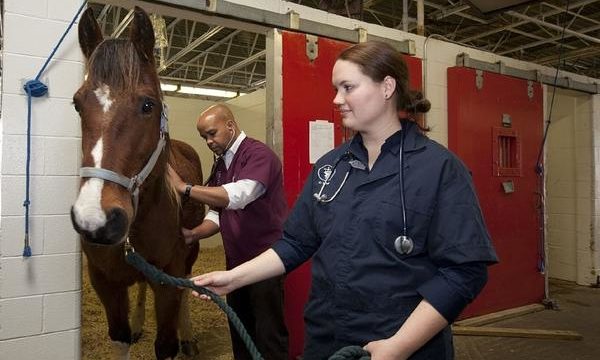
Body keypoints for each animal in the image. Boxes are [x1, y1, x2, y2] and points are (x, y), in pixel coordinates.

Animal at [71, 6, 204, 360]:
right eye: (77, 104)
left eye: (148, 105)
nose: (96, 219)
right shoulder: (105, 282)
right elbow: (120, 338)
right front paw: (134, 326)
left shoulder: (168, 281)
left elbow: (166, 344)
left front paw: (181, 338)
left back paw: (189, 337)